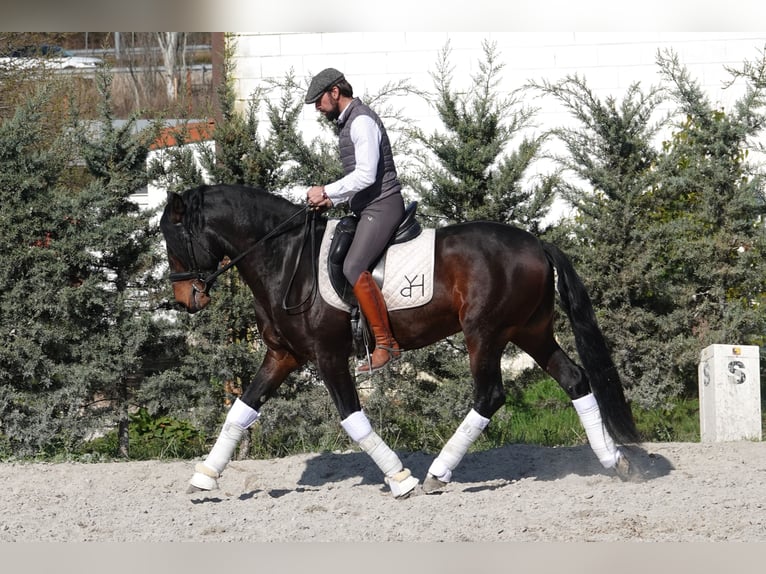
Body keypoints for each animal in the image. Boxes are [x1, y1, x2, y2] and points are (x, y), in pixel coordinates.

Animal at [160, 183, 640, 498]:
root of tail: (538, 245)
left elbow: (352, 419)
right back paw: (614, 461)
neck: (286, 260)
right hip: (530, 331)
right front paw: (204, 476)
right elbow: (241, 409)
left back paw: (438, 474)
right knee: (575, 380)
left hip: (484, 334)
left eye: (172, 236)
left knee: (489, 395)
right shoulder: (283, 355)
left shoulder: (328, 356)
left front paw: (400, 478)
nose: (185, 300)